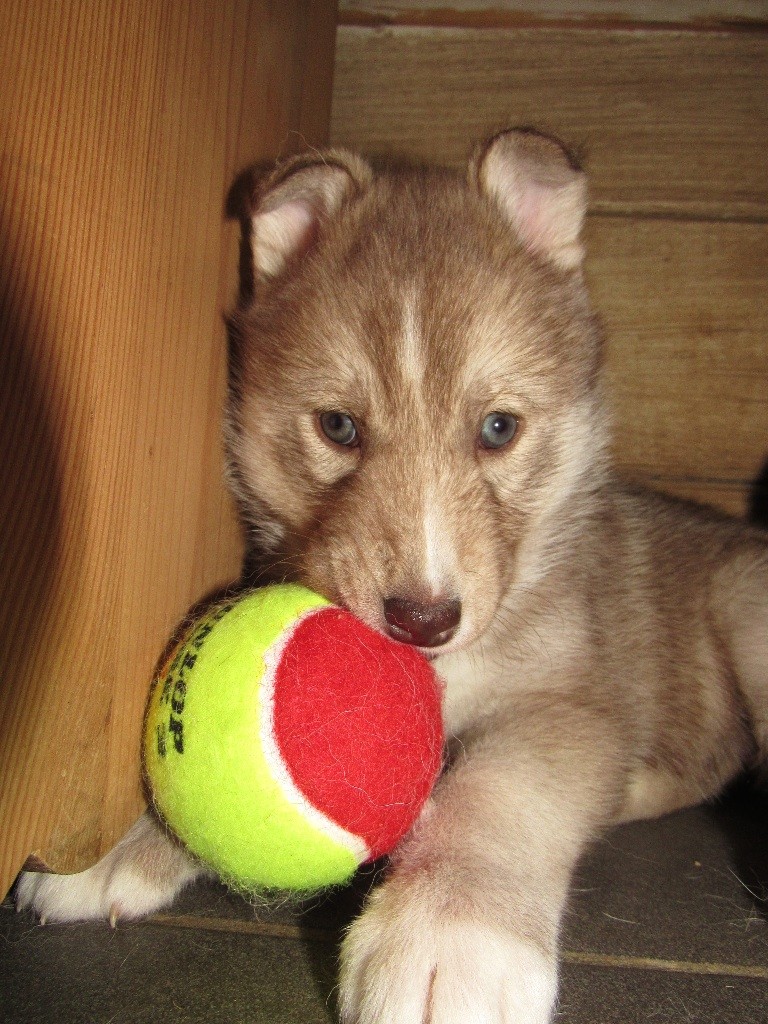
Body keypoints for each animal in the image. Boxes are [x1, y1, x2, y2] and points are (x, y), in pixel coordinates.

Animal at [18, 130, 768, 1024]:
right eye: (339, 427)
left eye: (498, 428)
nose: (423, 620)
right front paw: (112, 854)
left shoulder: (564, 703)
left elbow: (494, 791)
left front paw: (450, 935)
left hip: (747, 609)